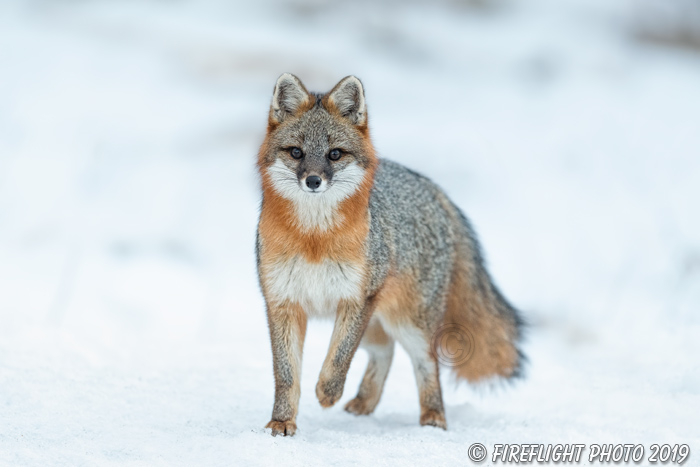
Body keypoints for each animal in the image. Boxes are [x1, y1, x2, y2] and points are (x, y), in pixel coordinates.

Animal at [254, 72, 524, 436]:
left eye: (334, 154)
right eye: (296, 152)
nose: (313, 180)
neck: (315, 240)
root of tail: (431, 186)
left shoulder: (357, 300)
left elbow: (338, 359)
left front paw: (327, 393)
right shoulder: (282, 303)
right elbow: (286, 375)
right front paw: (282, 421)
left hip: (408, 323)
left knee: (426, 363)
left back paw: (433, 419)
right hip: (377, 324)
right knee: (386, 351)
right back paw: (365, 402)